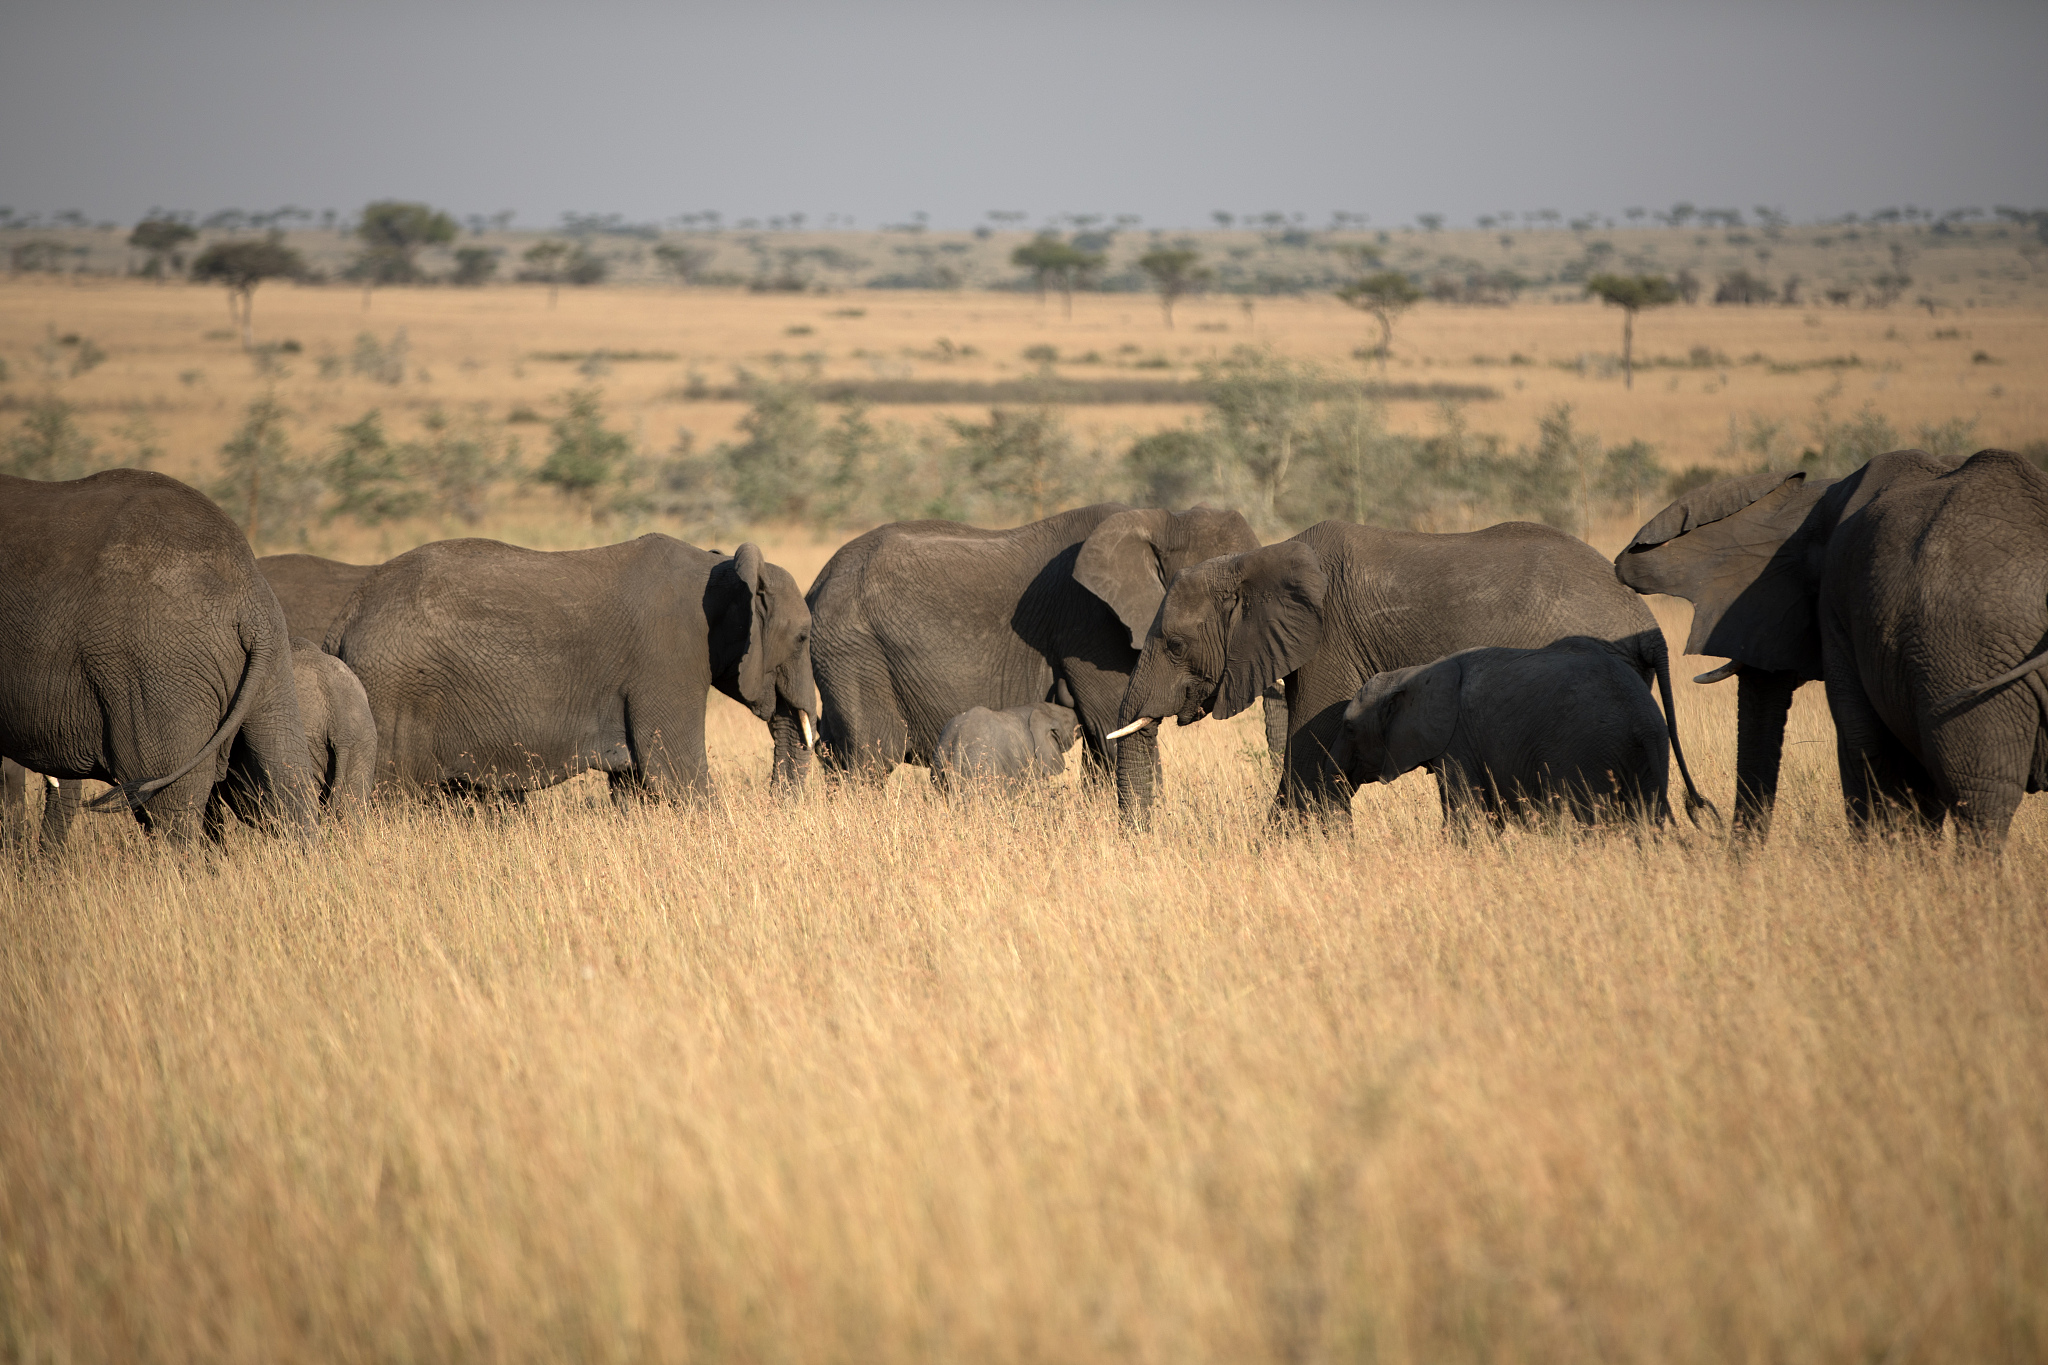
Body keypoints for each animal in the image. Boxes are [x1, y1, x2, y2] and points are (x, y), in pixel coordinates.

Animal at [324, 535, 817, 802]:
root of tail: (345, 617)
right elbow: (677, 775)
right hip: (394, 698)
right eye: (803, 638)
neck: (720, 567)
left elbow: (636, 783)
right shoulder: (665, 660)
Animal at [1331, 641, 1674, 830]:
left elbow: (1470, 818)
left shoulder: (1458, 741)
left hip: (1585, 752)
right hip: (1651, 750)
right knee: (1646, 820)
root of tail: (1641, 721)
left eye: (1348, 728)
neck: (1411, 674)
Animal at [1617, 448, 2047, 848]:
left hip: (1965, 654)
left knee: (1980, 799)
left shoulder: (1841, 610)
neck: (1821, 497)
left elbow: (1862, 744)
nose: (1703, 811)